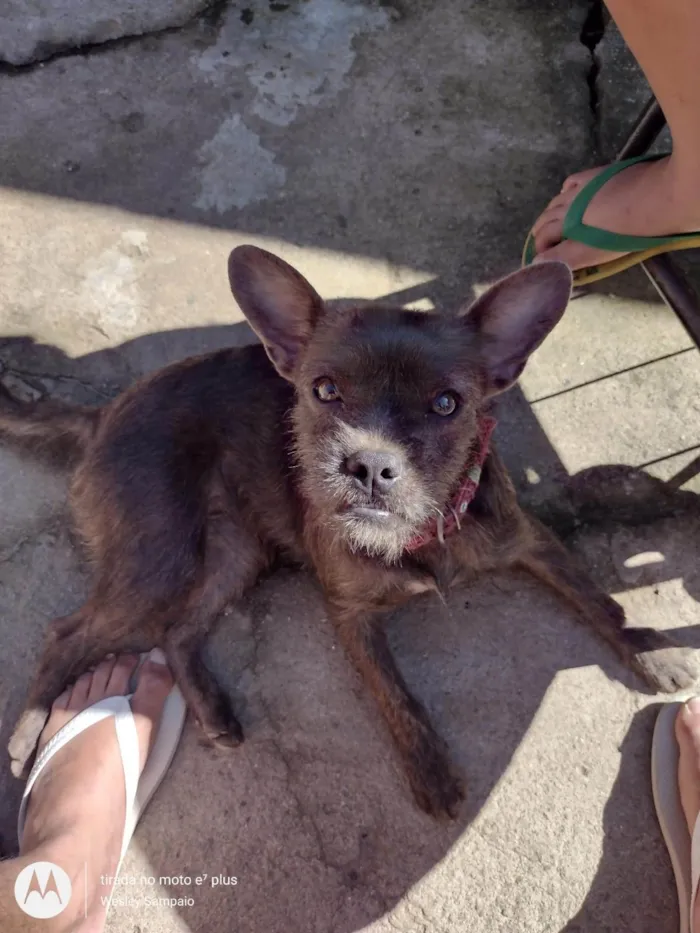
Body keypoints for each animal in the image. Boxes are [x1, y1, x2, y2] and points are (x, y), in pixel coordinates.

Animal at [2, 246, 696, 816]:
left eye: (448, 404)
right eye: (325, 391)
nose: (366, 463)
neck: (423, 535)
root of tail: (101, 413)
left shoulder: (530, 541)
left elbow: (597, 596)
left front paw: (650, 648)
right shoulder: (351, 615)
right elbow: (395, 695)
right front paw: (431, 771)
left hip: (236, 553)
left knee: (177, 632)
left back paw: (212, 709)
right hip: (161, 557)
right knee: (67, 632)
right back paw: (30, 732)